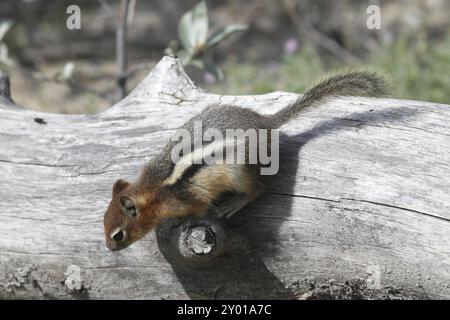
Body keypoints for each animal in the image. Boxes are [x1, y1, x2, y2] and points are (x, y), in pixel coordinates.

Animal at [103, 71, 386, 251]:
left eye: (118, 235)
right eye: (104, 221)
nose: (109, 248)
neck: (153, 189)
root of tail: (266, 123)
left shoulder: (191, 197)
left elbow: (198, 211)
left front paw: (183, 222)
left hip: (241, 171)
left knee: (258, 189)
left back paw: (233, 203)